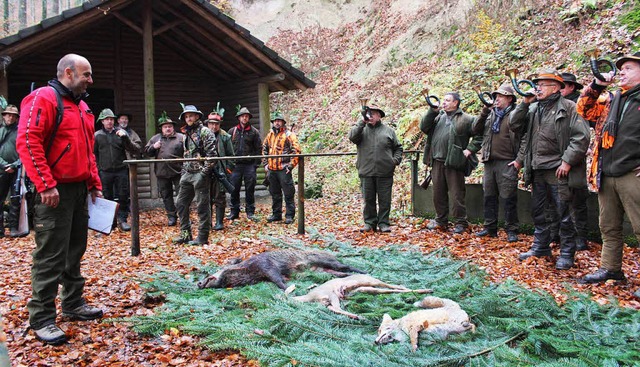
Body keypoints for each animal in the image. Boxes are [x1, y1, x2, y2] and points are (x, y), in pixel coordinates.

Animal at [292, 274, 432, 320]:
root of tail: (310, 296)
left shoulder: (366, 286)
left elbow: (389, 289)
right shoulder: (364, 283)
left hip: (329, 299)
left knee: (332, 308)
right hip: (332, 295)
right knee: (336, 307)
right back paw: (358, 316)